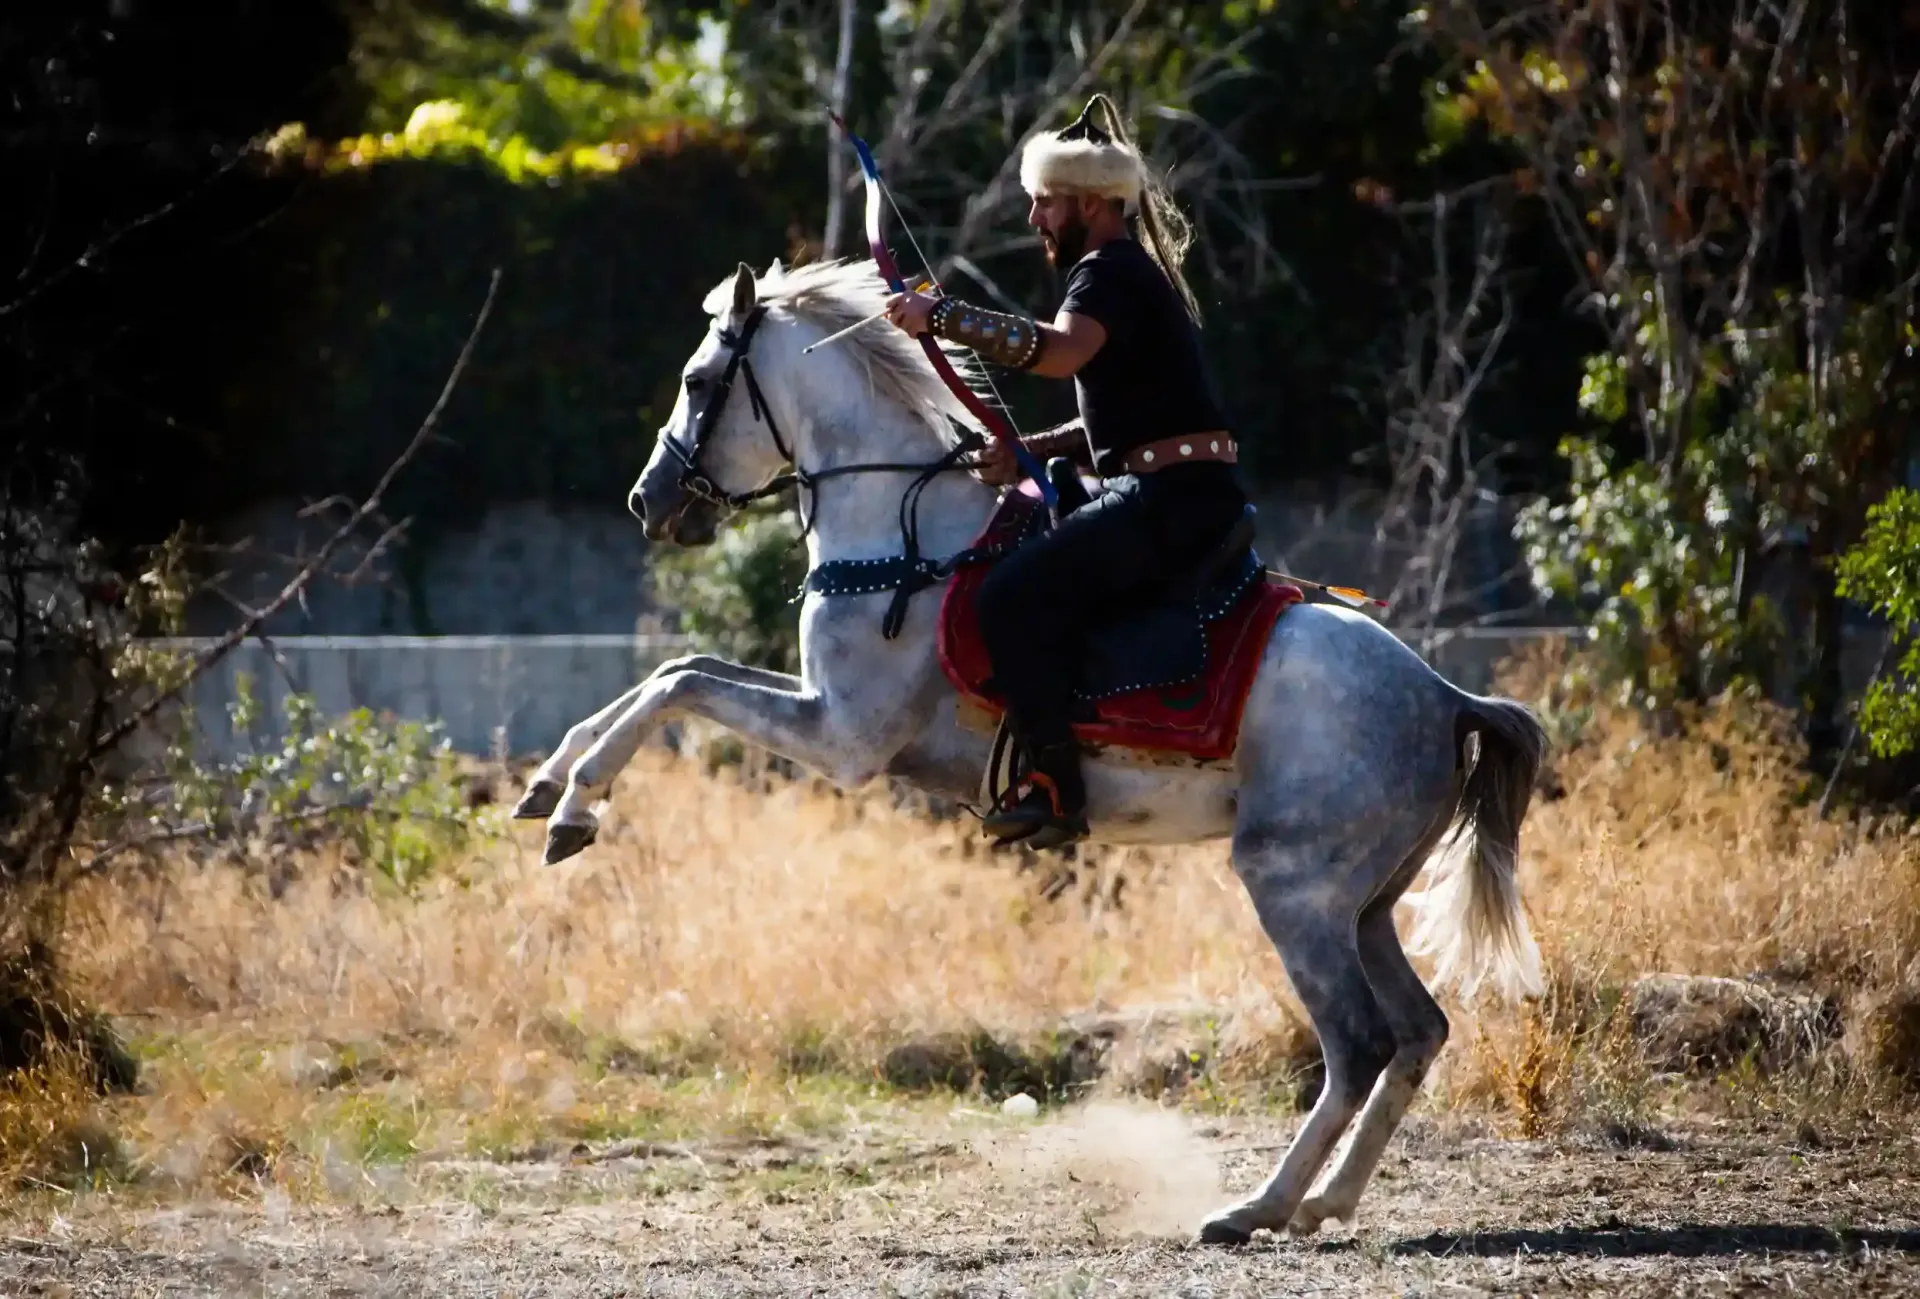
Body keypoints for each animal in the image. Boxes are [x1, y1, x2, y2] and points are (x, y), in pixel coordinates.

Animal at [512, 256, 1548, 1245]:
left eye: (697, 381)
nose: (649, 500)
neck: (908, 531)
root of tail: (1445, 697)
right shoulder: (819, 710)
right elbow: (676, 669)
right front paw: (548, 782)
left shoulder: (842, 736)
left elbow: (677, 685)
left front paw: (575, 807)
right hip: (1366, 903)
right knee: (1418, 1031)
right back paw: (1326, 1201)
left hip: (1294, 889)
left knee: (1358, 1044)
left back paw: (1256, 1206)